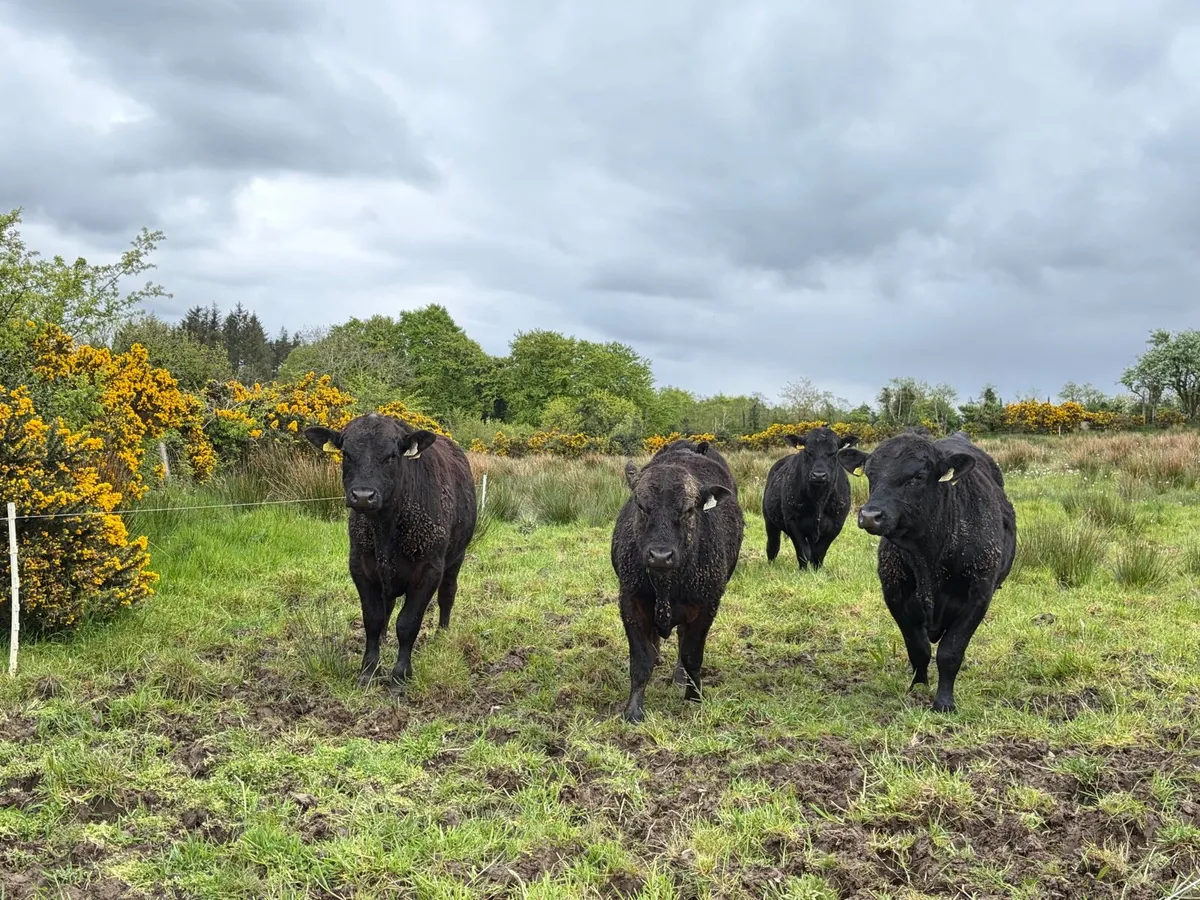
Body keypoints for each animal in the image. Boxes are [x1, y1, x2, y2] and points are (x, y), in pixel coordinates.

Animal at [303, 413, 477, 689]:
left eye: (392, 455)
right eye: (346, 453)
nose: (363, 495)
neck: (386, 528)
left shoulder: (429, 570)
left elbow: (408, 622)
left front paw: (400, 675)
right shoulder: (360, 566)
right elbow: (373, 618)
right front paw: (369, 669)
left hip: (456, 558)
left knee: (447, 594)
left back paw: (442, 634)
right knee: (388, 605)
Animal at [611, 441, 744, 723]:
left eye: (689, 509)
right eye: (641, 506)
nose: (661, 555)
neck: (666, 586)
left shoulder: (706, 606)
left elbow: (692, 654)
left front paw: (694, 697)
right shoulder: (630, 601)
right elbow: (641, 660)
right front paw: (633, 710)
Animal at [762, 426, 859, 571]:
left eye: (834, 453)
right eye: (808, 452)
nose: (819, 475)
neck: (818, 500)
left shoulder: (836, 524)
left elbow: (819, 553)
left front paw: (816, 571)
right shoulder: (792, 521)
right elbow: (803, 552)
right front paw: (803, 571)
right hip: (769, 520)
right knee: (773, 546)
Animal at [838, 429, 1016, 712]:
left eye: (918, 477)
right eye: (870, 474)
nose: (870, 515)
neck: (928, 558)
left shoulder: (979, 596)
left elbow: (950, 652)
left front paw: (944, 702)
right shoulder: (894, 595)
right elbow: (917, 648)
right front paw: (918, 687)